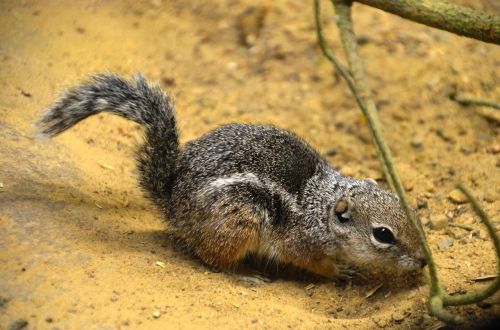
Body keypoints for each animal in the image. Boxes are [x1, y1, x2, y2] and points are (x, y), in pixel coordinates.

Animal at [38, 72, 426, 278]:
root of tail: (172, 200)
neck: (322, 207)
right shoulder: (300, 242)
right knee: (213, 260)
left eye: (413, 213)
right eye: (383, 235)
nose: (423, 260)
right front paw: (340, 272)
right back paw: (248, 275)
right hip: (240, 218)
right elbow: (312, 262)